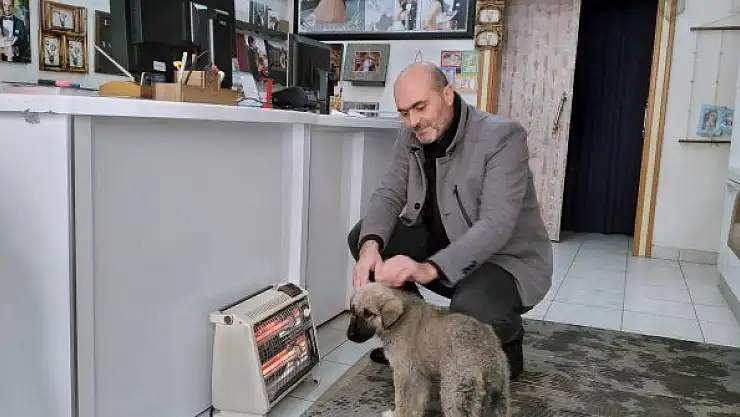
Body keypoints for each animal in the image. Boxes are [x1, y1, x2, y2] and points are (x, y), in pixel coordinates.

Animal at [347, 282, 511, 417]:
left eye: (368, 313)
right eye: (352, 310)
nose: (350, 336)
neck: (399, 318)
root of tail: (488, 360)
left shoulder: (404, 373)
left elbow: (403, 401)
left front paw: (397, 414)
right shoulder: (419, 375)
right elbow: (418, 401)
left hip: (454, 395)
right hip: (499, 398)